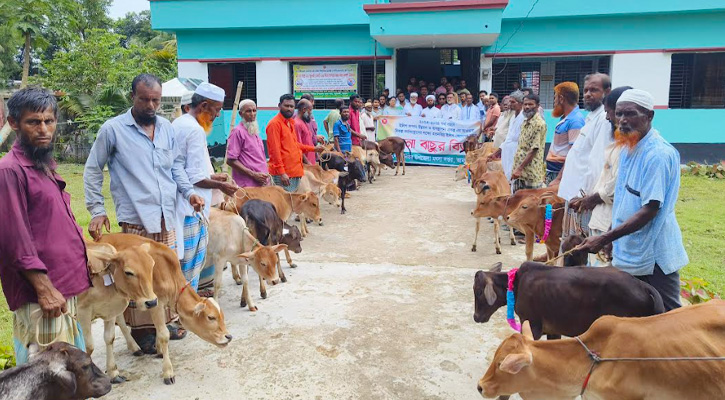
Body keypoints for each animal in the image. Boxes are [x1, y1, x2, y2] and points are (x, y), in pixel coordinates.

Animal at [97, 234, 230, 384]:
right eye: (211, 317)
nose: (228, 337)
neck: (168, 272)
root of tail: (102, 237)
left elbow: (158, 329)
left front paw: (160, 351)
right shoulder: (156, 302)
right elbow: (164, 334)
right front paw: (168, 372)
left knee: (120, 320)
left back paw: (134, 347)